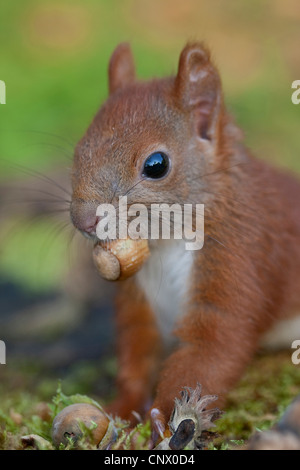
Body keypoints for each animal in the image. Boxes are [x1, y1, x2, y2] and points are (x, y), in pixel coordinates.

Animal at [69, 42, 300, 436]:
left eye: (156, 165)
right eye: (79, 151)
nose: (84, 220)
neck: (166, 245)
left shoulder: (239, 260)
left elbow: (210, 351)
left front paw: (163, 421)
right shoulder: (139, 303)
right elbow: (137, 353)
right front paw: (121, 410)